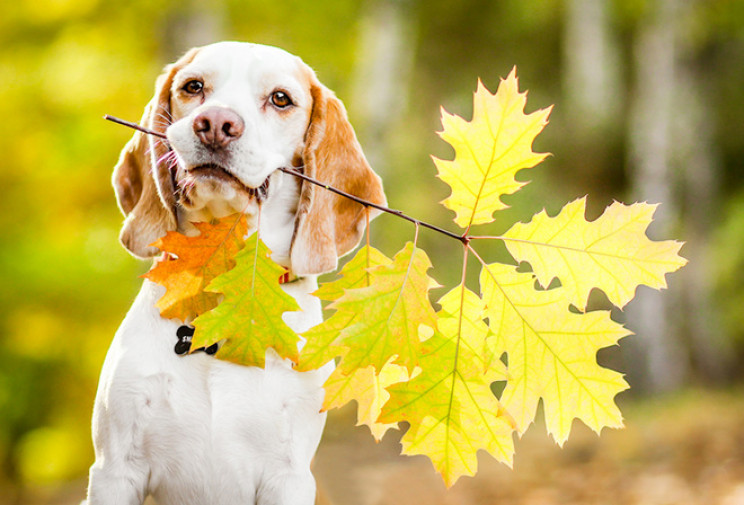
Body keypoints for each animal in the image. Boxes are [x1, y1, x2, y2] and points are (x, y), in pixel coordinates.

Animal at [86, 42, 386, 504]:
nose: (215, 124)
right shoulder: (114, 471)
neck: (225, 286)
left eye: (280, 98)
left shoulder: (289, 479)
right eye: (193, 87)